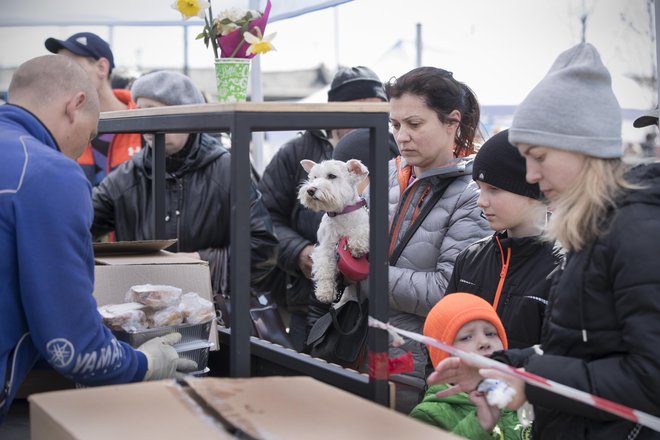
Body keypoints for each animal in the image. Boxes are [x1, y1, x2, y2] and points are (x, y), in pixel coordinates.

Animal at [296, 159, 368, 306]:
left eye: (331, 176)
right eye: (314, 177)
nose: (310, 190)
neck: (341, 214)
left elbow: (361, 230)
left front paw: (357, 246)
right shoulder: (326, 248)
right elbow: (325, 270)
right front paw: (325, 293)